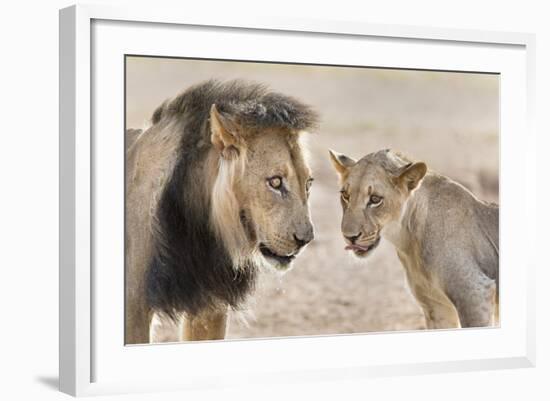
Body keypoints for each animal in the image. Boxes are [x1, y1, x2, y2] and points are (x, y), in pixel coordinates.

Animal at [330, 148, 502, 326]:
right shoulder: (436, 306)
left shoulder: (474, 292)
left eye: (375, 199)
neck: (408, 241)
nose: (349, 236)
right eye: (345, 195)